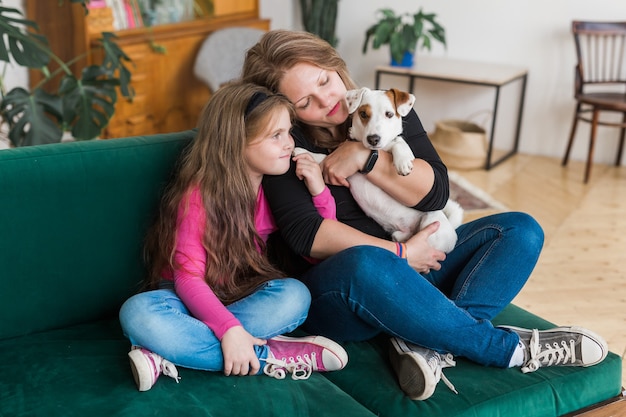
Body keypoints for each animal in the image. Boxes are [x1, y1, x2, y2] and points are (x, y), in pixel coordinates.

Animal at [294, 86, 460, 252]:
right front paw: (303, 152)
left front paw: (403, 160)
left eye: (389, 114)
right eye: (363, 114)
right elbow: (323, 157)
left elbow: (398, 142)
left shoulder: (391, 144)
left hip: (431, 222)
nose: (373, 139)